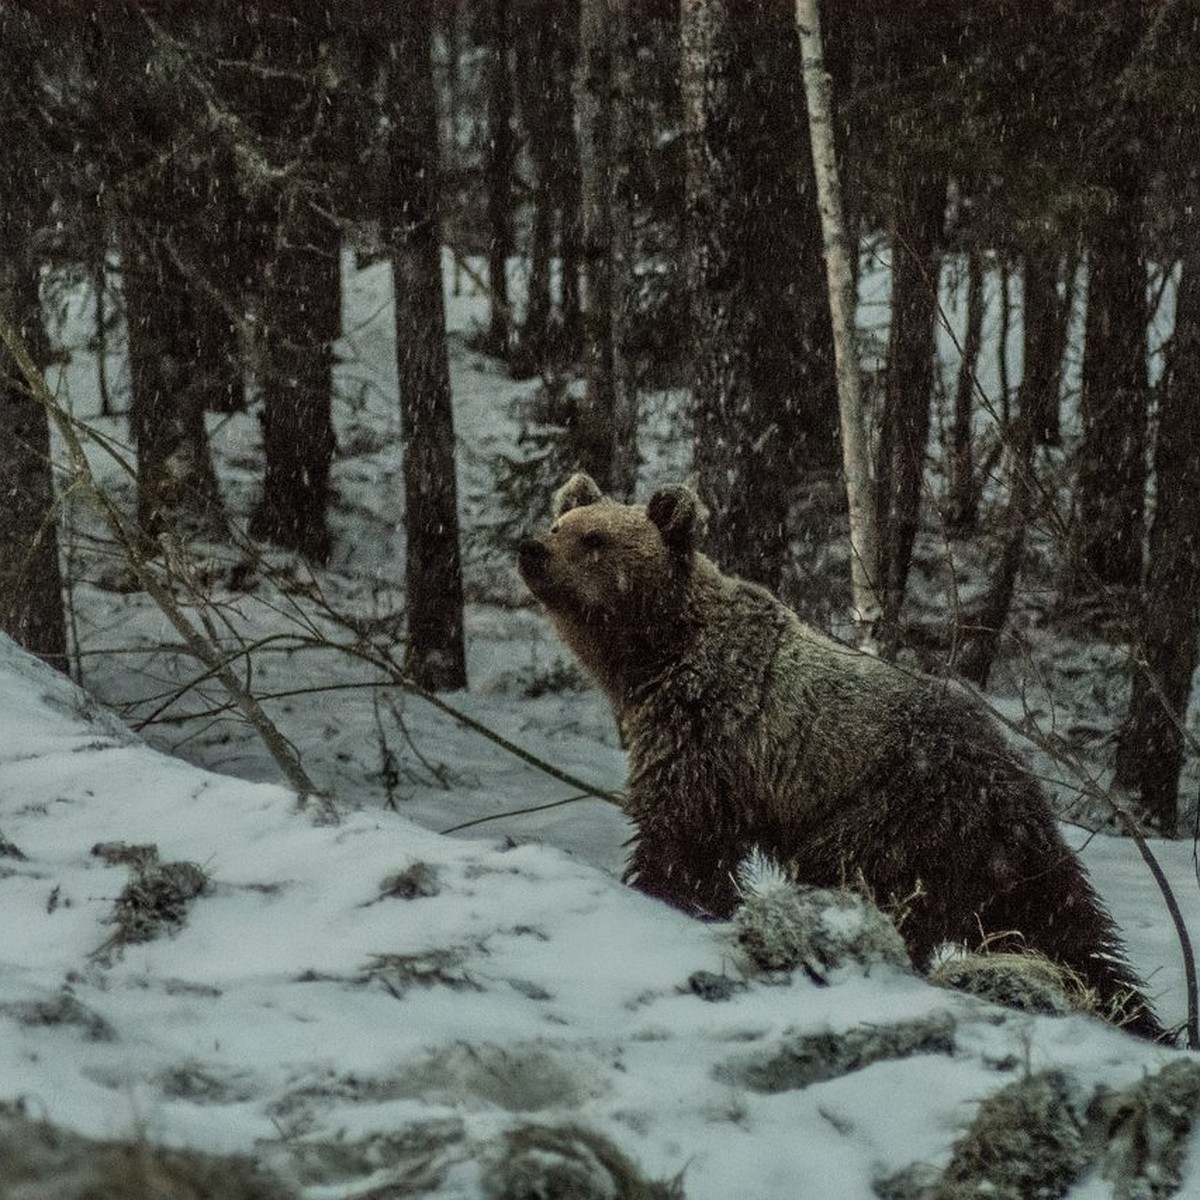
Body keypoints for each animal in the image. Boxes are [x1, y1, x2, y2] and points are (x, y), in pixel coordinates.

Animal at [518, 472, 1161, 1036]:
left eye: (595, 539)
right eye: (560, 522)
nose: (530, 548)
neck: (652, 658)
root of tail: (1018, 791)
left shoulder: (709, 734)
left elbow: (684, 841)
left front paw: (667, 894)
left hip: (895, 817)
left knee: (867, 884)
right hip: (1002, 862)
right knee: (1071, 931)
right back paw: (1136, 1015)